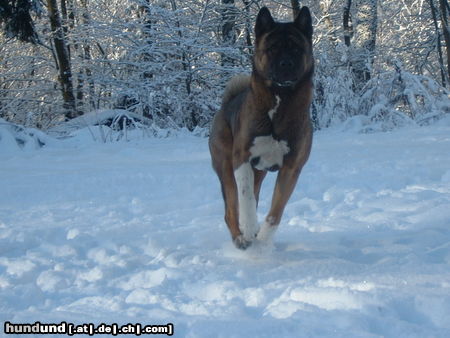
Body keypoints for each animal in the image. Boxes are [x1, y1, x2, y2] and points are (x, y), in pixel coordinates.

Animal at [207, 4, 312, 248]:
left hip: (259, 172)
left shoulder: (291, 168)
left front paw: (263, 241)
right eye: (272, 48)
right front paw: (249, 228)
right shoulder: (241, 158)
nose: (286, 64)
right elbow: (246, 199)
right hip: (225, 165)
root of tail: (226, 104)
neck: (280, 101)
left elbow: (275, 213)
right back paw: (241, 237)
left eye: (296, 48)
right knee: (231, 209)